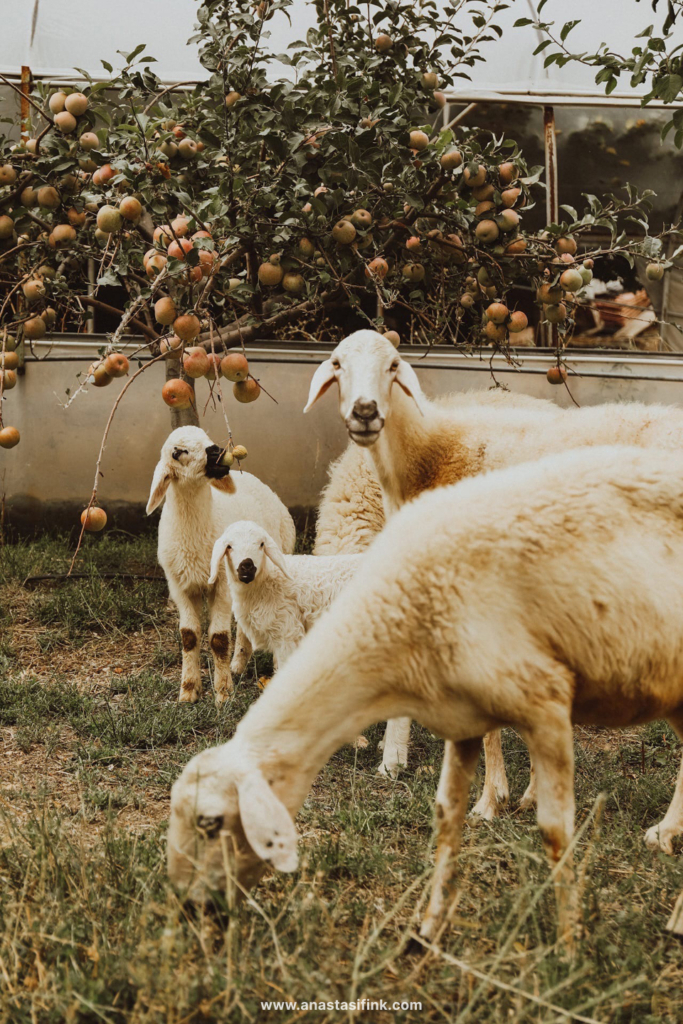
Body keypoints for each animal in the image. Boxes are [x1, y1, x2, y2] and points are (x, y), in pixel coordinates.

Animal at [145, 425, 294, 704]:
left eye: (206, 436)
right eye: (178, 452)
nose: (216, 452)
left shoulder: (222, 584)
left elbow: (218, 639)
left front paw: (223, 693)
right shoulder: (180, 586)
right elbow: (189, 636)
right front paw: (189, 690)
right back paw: (238, 664)